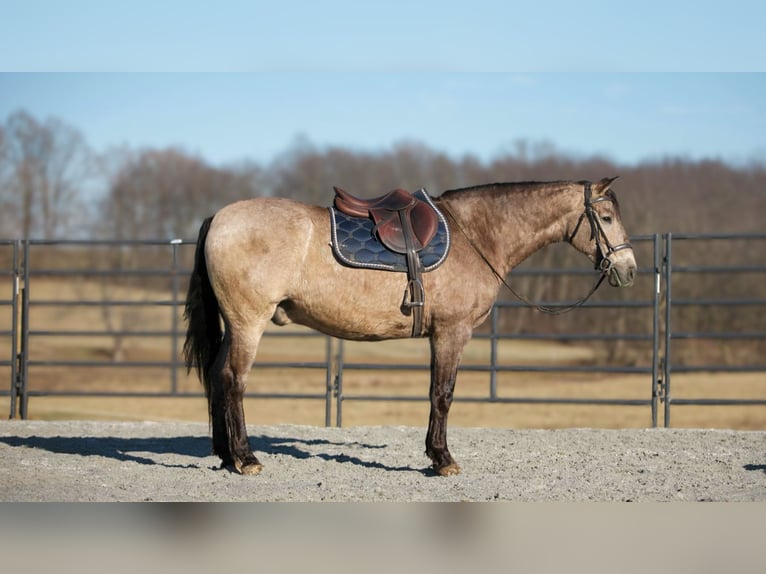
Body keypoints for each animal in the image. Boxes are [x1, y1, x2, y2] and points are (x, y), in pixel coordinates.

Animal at [184, 179, 636, 476]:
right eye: (606, 217)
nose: (628, 270)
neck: (477, 235)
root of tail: (219, 218)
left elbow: (437, 393)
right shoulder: (452, 333)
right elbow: (443, 395)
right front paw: (442, 459)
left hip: (235, 325)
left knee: (218, 377)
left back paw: (225, 455)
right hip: (248, 323)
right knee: (234, 380)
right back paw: (246, 458)